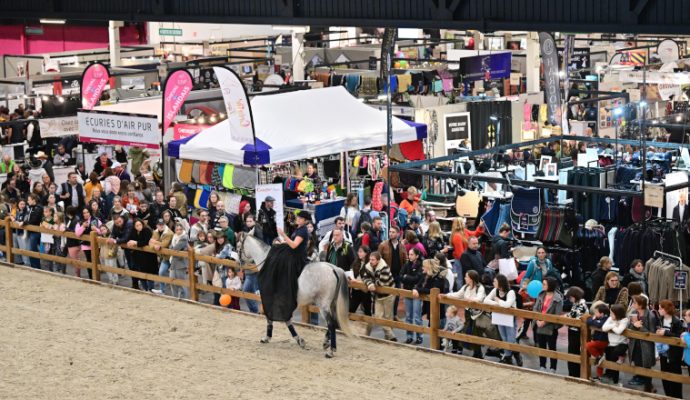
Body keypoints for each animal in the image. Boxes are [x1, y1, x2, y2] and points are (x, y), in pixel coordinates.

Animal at [236, 230, 352, 358]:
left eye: (237, 246)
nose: (238, 263)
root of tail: (334, 269)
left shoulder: (272, 299)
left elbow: (275, 318)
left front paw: (269, 337)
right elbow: (286, 320)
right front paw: (299, 341)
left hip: (323, 305)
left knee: (331, 323)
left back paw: (331, 351)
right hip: (332, 304)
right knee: (334, 322)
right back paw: (326, 342)